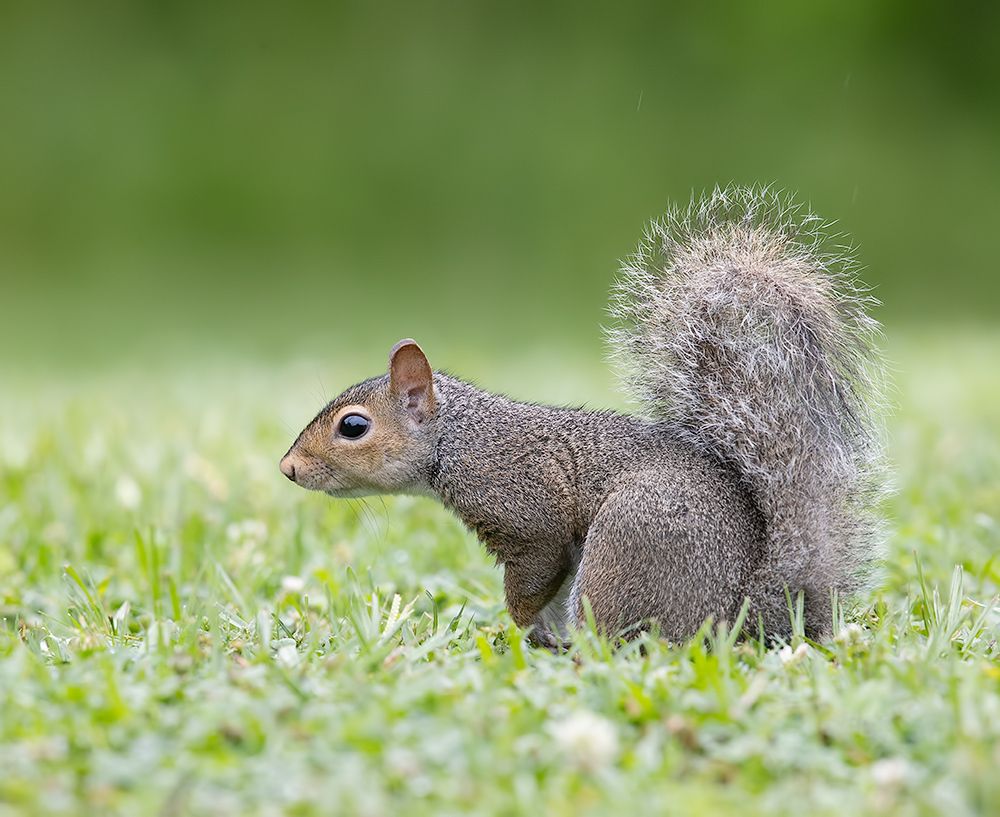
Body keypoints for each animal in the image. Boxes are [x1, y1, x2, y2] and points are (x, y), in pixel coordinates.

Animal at [279, 186, 885, 646]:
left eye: (353, 426)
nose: (288, 469)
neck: (462, 438)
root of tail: (740, 616)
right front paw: (535, 637)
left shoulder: (528, 516)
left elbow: (530, 583)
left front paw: (521, 631)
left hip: (627, 544)